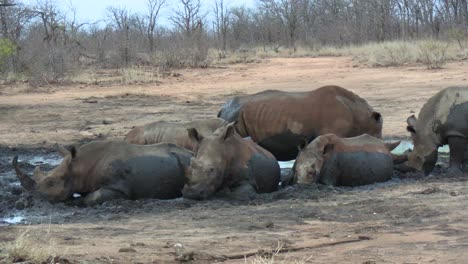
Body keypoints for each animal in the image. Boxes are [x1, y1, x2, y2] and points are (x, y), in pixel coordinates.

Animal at [13, 141, 192, 205]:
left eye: (51, 182)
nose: (26, 200)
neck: (81, 166)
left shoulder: (119, 188)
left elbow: (92, 198)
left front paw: (75, 202)